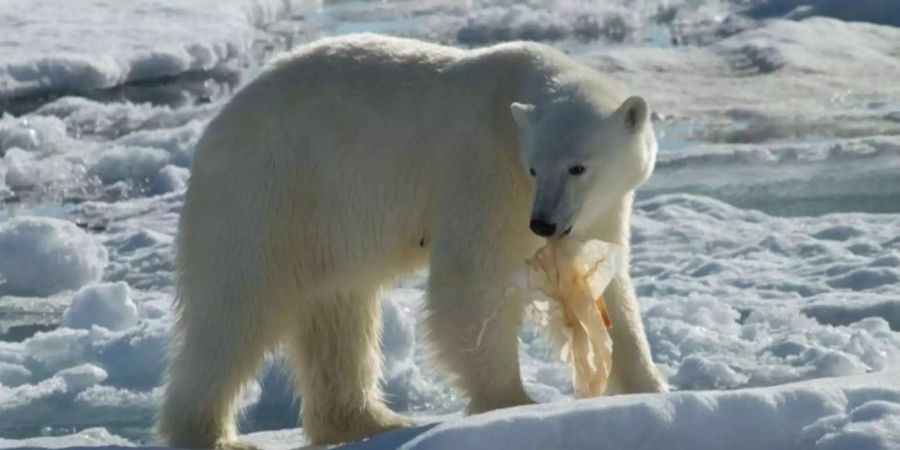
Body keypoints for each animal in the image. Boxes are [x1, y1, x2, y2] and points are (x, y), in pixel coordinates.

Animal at [156, 33, 668, 448]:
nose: (542, 223)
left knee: (338, 313)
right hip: (268, 194)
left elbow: (610, 288)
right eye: (535, 168)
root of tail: (214, 130)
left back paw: (370, 420)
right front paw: (514, 403)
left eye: (578, 167)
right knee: (235, 311)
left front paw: (650, 388)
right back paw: (213, 435)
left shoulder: (600, 210)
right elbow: (470, 278)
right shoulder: (482, 171)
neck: (512, 100)